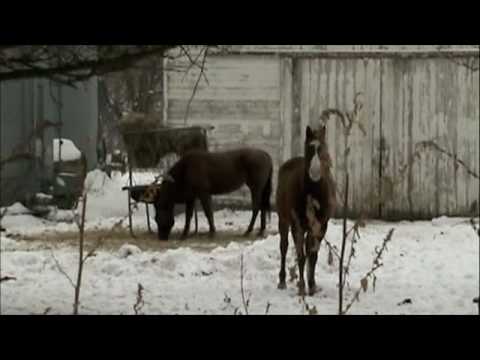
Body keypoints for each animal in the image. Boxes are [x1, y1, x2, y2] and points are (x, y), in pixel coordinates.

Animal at [135, 148, 272, 240]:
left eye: (157, 217)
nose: (161, 238)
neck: (185, 172)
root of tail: (266, 155)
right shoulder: (191, 197)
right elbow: (188, 216)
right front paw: (184, 234)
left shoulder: (203, 193)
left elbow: (208, 212)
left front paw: (212, 232)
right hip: (261, 187)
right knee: (262, 207)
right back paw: (261, 231)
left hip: (256, 186)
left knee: (257, 207)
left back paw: (248, 231)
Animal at [276, 125, 336, 296]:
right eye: (309, 149)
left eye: (323, 148)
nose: (315, 172)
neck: (312, 192)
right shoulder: (297, 226)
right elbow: (301, 256)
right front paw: (302, 286)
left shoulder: (321, 226)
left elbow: (312, 255)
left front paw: (312, 285)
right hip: (283, 220)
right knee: (283, 247)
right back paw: (282, 280)